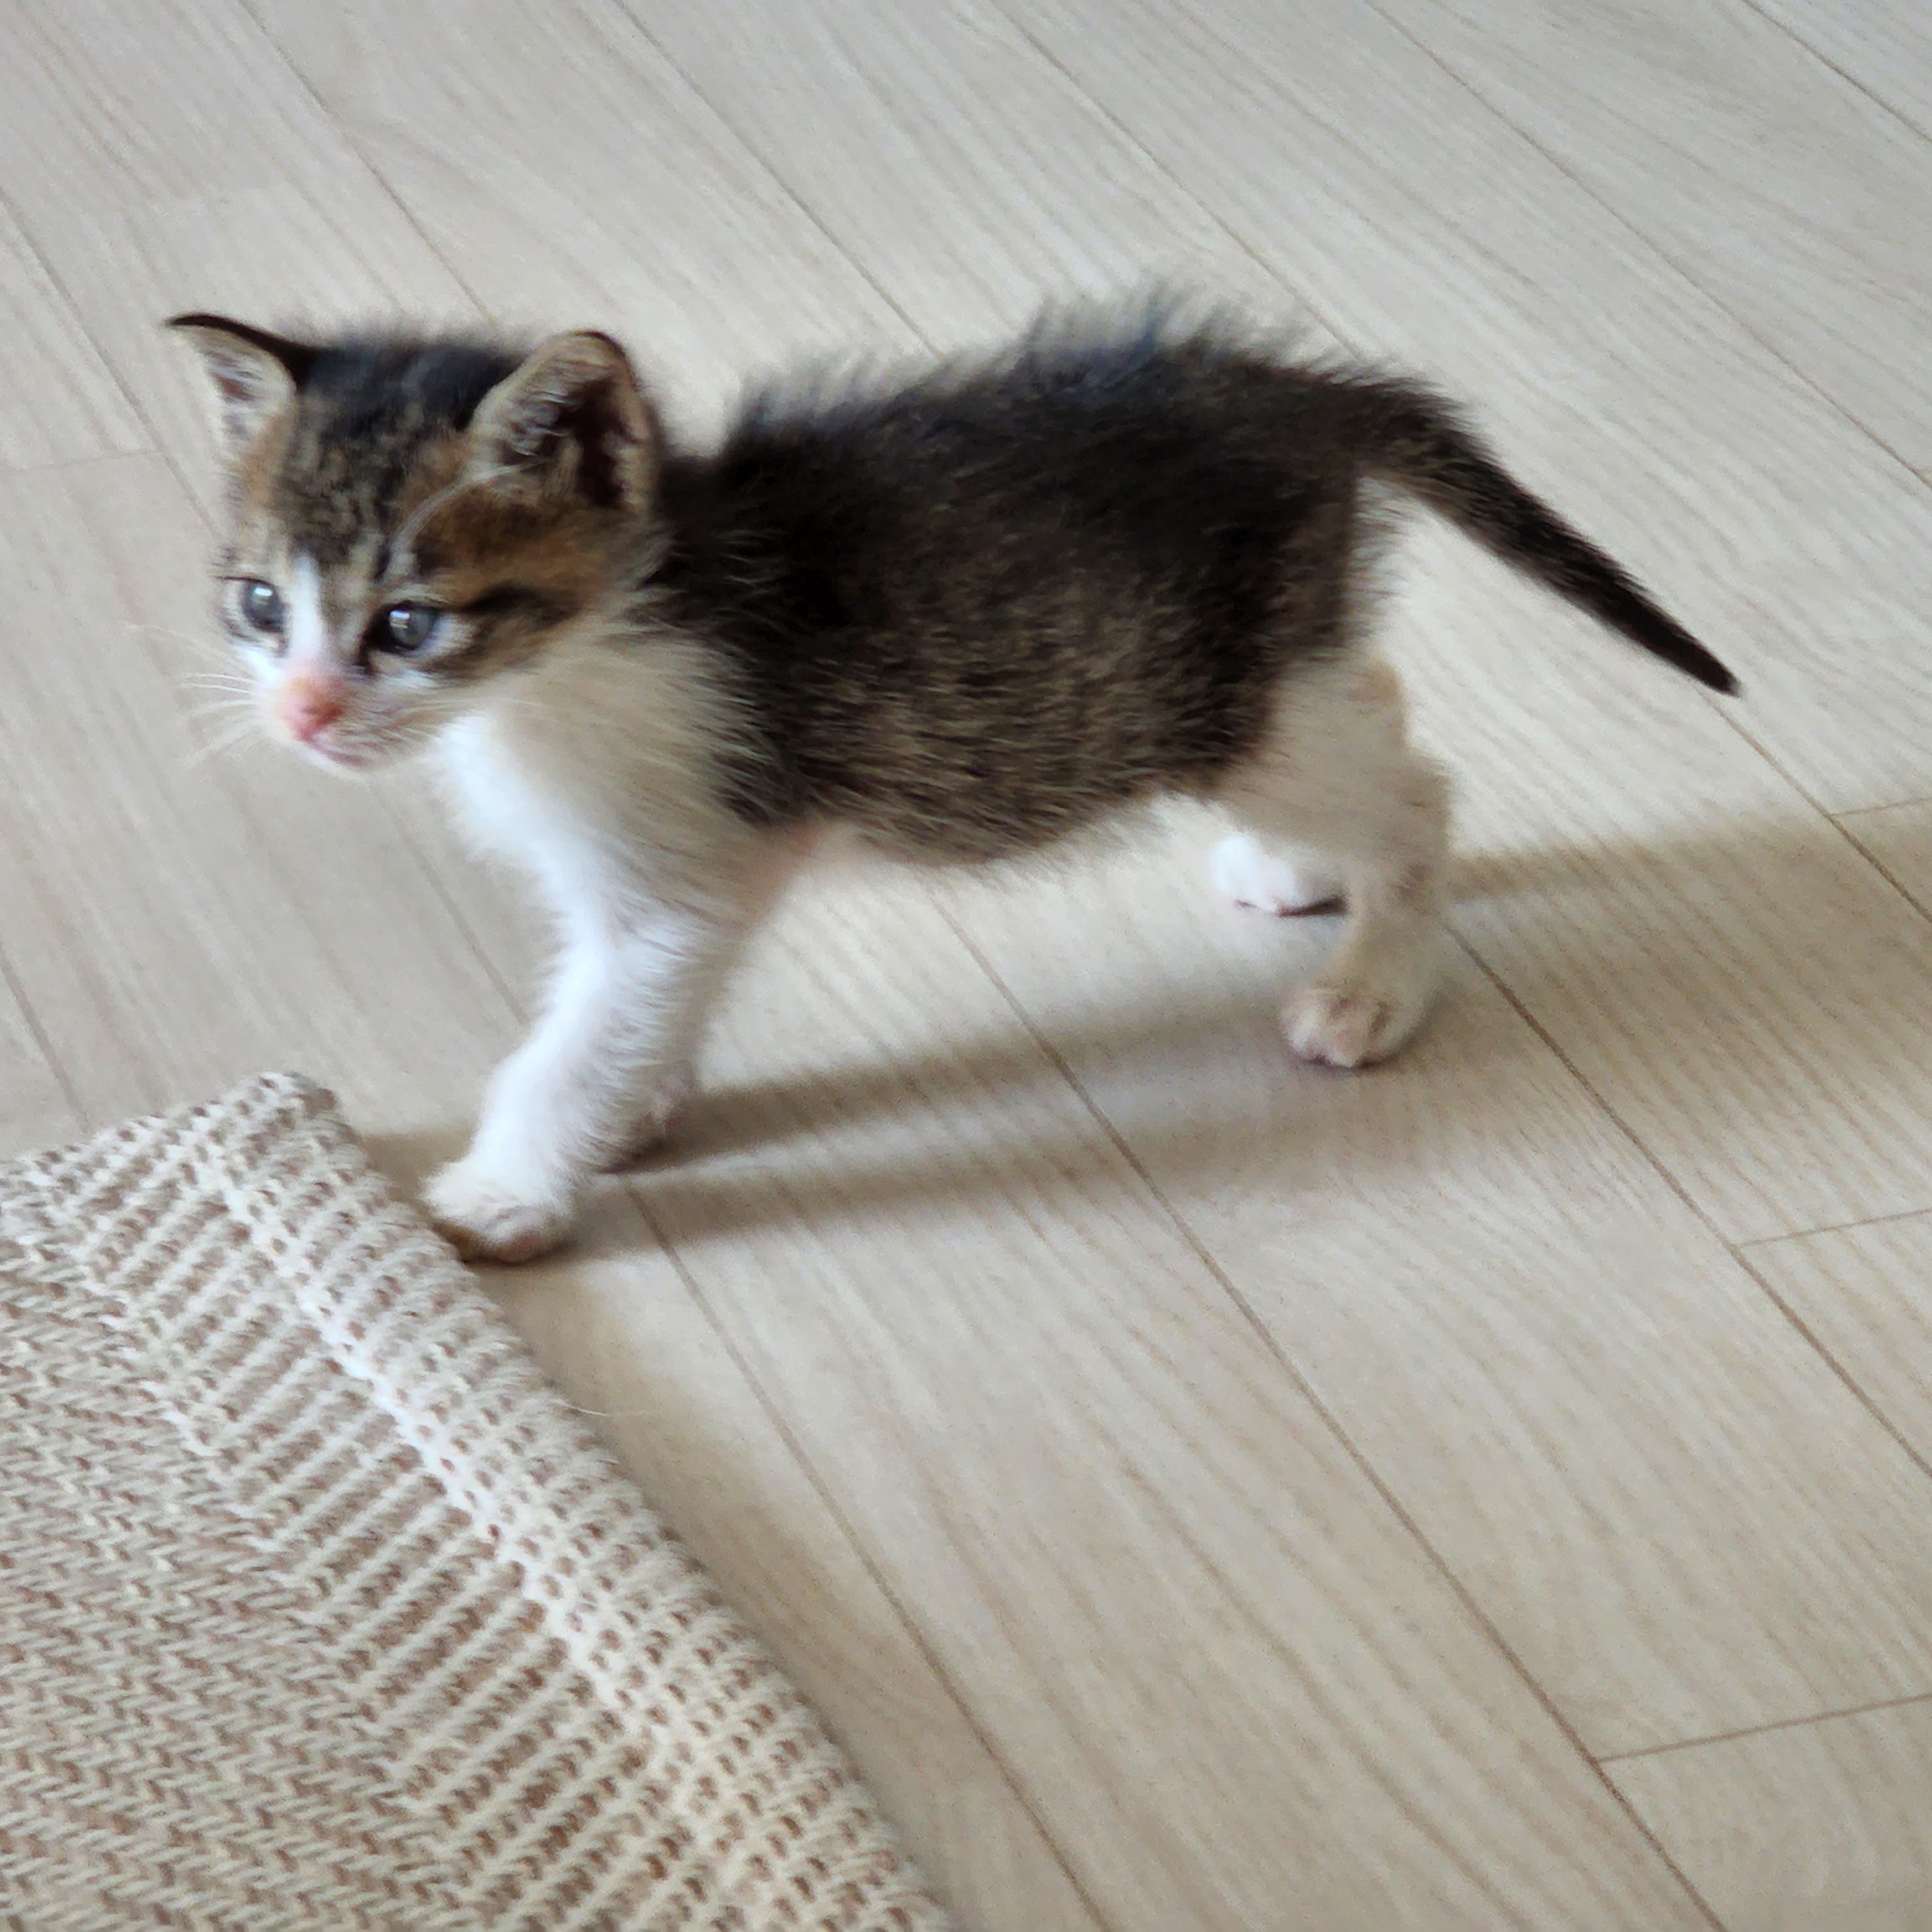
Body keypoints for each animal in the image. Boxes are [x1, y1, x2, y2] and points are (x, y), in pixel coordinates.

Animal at [169, 302, 1735, 1263]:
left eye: (405, 624)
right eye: (258, 605)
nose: (303, 712)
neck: (602, 633)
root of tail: (1291, 391)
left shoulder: (673, 864)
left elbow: (577, 1033)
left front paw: (508, 1186)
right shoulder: (688, 872)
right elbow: (641, 1005)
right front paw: (642, 1102)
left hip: (1201, 700)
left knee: (1416, 795)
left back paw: (1372, 982)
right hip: (1253, 673)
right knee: (1372, 703)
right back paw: (1297, 872)